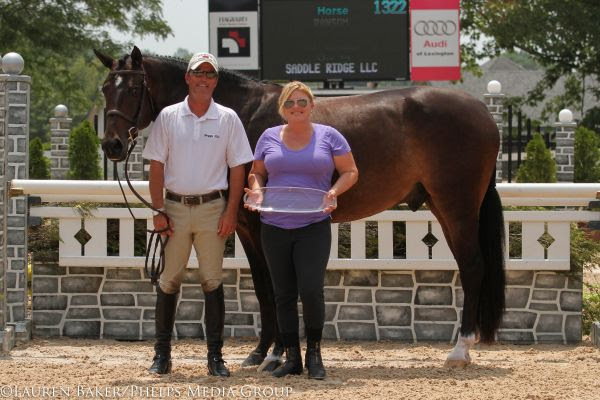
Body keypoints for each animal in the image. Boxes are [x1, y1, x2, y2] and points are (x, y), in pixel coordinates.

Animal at [95, 45, 506, 368]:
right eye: (105, 88)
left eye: (134, 87)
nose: (112, 145)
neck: (240, 113)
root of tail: (483, 112)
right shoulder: (245, 226)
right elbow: (262, 288)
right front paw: (259, 354)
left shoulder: (263, 225)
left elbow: (276, 286)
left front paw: (277, 354)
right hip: (443, 205)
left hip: (457, 205)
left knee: (472, 267)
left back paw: (459, 350)